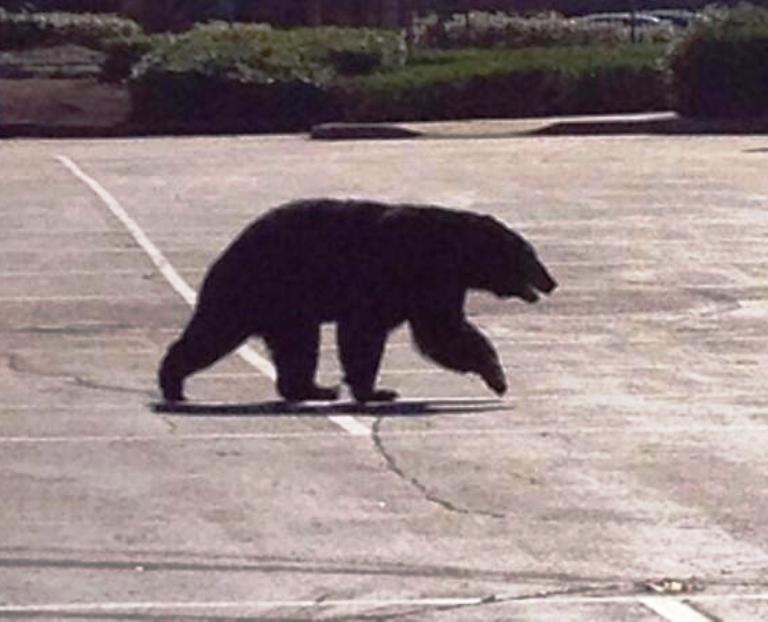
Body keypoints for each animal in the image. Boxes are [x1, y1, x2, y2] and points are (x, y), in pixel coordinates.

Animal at [158, 199, 557, 403]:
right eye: (531, 256)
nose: (551, 282)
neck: (455, 252)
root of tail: (228, 250)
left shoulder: (438, 283)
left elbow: (438, 329)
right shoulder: (412, 270)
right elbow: (422, 331)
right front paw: (496, 376)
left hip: (287, 307)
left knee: (298, 345)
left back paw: (312, 388)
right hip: (257, 286)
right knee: (215, 330)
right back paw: (172, 383)